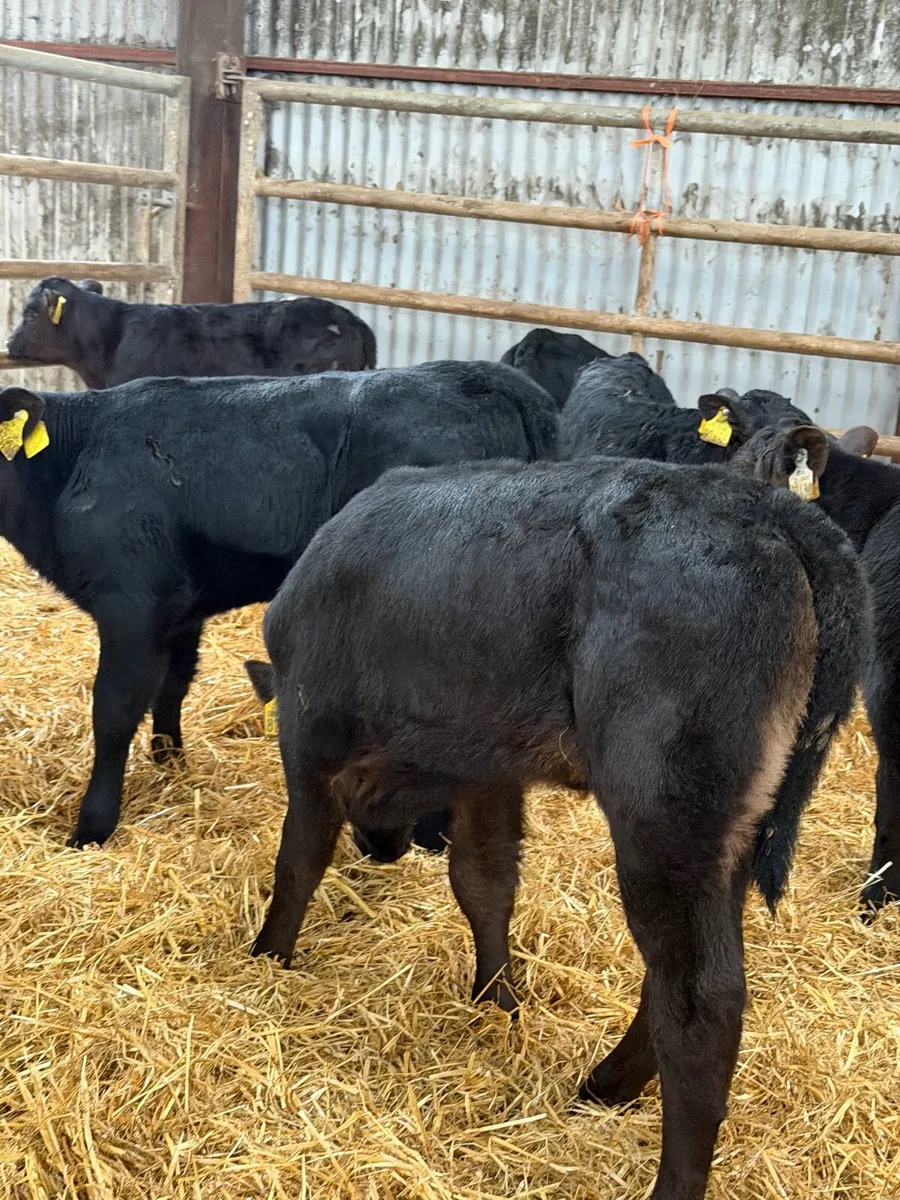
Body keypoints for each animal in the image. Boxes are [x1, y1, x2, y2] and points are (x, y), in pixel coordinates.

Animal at [0, 361, 557, 849]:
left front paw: (91, 829)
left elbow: (113, 711)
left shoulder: (131, 606)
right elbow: (173, 687)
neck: (74, 459)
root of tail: (486, 377)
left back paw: (430, 839)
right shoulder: (179, 610)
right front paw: (171, 765)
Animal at [249, 454, 866, 1200]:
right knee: (676, 974)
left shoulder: (308, 731)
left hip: (663, 815)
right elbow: (483, 882)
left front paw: (267, 958)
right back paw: (607, 1083)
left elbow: (299, 858)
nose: (381, 848)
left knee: (701, 997)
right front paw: (497, 1002)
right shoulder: (489, 772)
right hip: (727, 834)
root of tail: (773, 508)